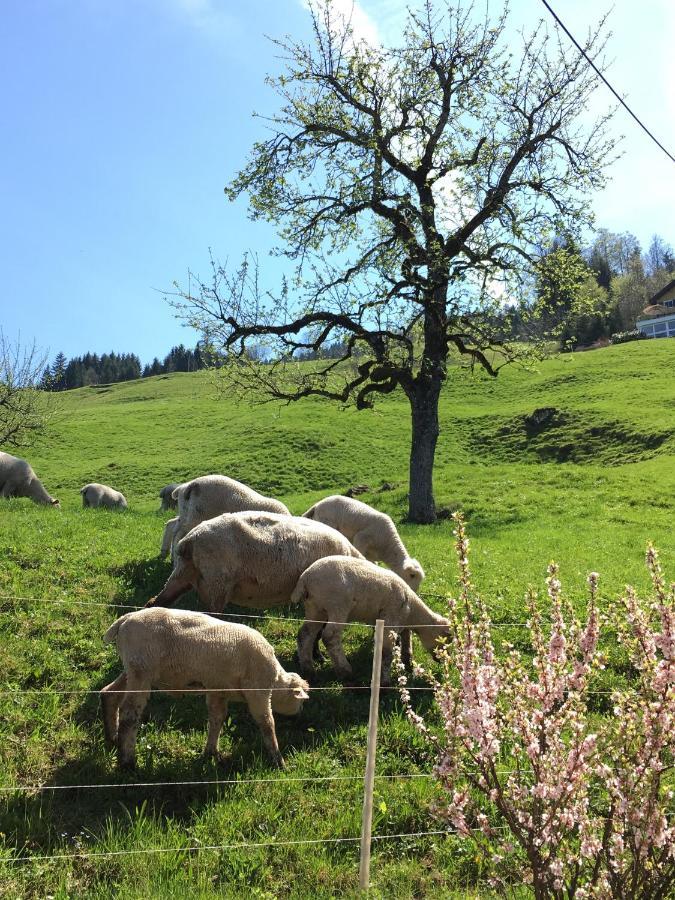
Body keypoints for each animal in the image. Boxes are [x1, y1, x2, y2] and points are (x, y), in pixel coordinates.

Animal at [101, 604, 308, 768]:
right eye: (300, 702)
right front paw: (279, 761)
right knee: (129, 715)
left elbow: (217, 719)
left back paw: (112, 738)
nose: (299, 716)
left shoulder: (218, 690)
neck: (275, 681)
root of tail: (124, 620)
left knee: (109, 693)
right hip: (141, 671)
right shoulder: (258, 692)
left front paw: (212, 753)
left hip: (132, 669)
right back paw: (127, 762)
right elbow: (267, 723)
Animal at [294, 552, 452, 684]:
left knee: (305, 634)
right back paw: (345, 672)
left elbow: (407, 643)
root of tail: (305, 578)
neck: (411, 612)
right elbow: (386, 652)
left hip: (315, 609)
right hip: (337, 605)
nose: (447, 662)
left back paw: (308, 670)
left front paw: (409, 664)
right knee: (330, 636)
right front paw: (385, 682)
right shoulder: (391, 618)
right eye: (446, 640)